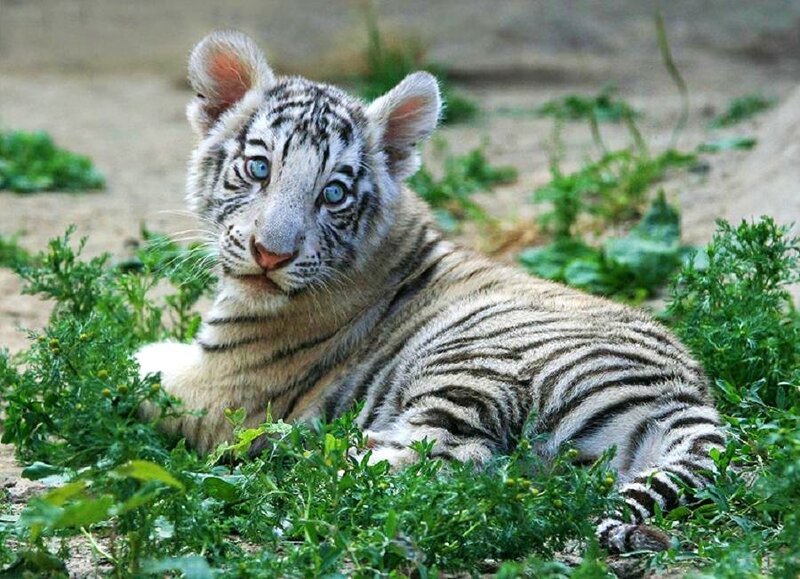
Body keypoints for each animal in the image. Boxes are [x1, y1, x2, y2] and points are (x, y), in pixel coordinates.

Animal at [136, 30, 726, 554]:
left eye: (333, 193)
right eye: (259, 168)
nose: (270, 255)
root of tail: (689, 396)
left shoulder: (221, 388)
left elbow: (135, 369)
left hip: (471, 363)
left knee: (449, 462)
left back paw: (296, 464)